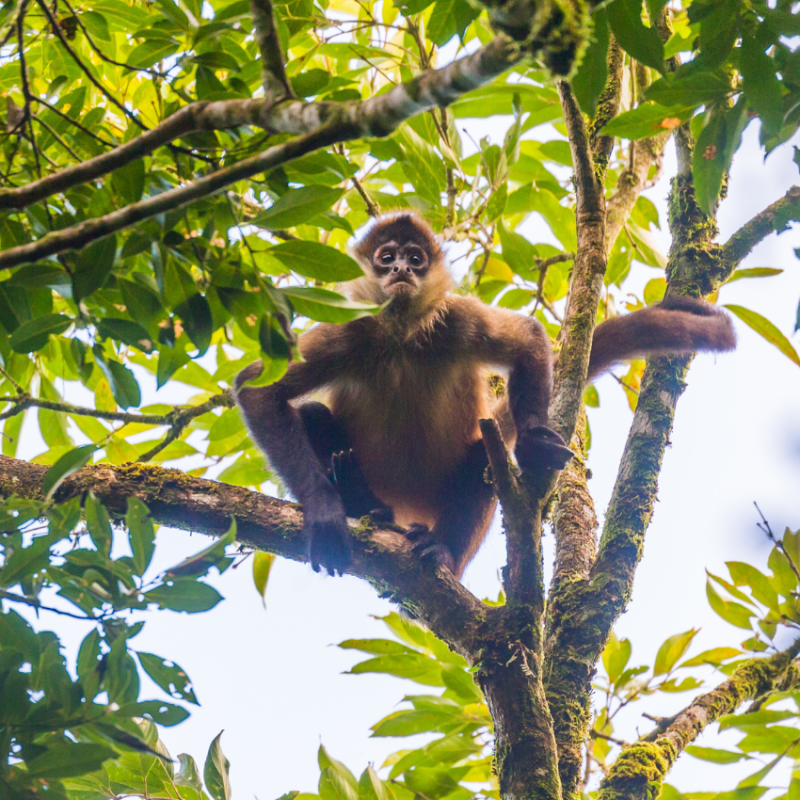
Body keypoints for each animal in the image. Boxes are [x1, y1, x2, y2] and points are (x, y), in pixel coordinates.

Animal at [233, 214, 736, 576]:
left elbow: (528, 337)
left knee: (480, 458)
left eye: (415, 258)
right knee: (313, 413)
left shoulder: (455, 319)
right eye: (386, 256)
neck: (403, 337)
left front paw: (532, 441)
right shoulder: (350, 329)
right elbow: (256, 390)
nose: (400, 270)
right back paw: (359, 498)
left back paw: (442, 552)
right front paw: (322, 508)